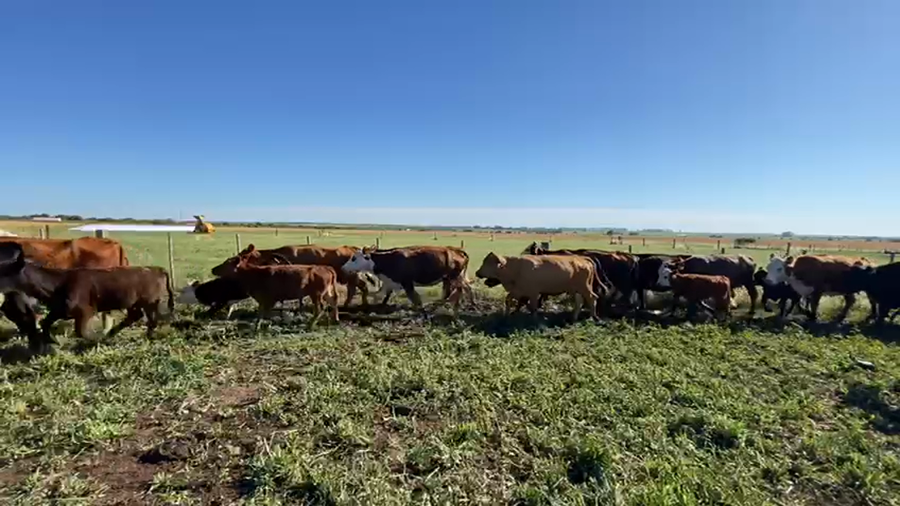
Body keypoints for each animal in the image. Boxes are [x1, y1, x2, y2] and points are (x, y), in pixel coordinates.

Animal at [0, 242, 174, 352]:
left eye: (5, 272)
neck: (59, 283)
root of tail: (156, 269)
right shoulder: (59, 309)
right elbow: (45, 322)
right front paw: (52, 340)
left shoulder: (86, 311)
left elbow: (80, 332)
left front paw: (94, 341)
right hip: (133, 302)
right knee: (137, 316)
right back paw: (111, 334)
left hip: (149, 302)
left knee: (151, 319)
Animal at [211, 244, 369, 308]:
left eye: (242, 256)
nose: (214, 270)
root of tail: (352, 248)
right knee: (360, 288)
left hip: (351, 278)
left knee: (356, 289)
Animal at [340, 245, 472, 313]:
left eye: (354, 258)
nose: (343, 268)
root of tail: (456, 250)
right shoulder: (390, 282)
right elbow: (382, 296)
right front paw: (378, 306)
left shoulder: (407, 283)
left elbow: (415, 298)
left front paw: (419, 310)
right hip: (452, 278)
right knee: (462, 289)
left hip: (453, 277)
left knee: (454, 291)